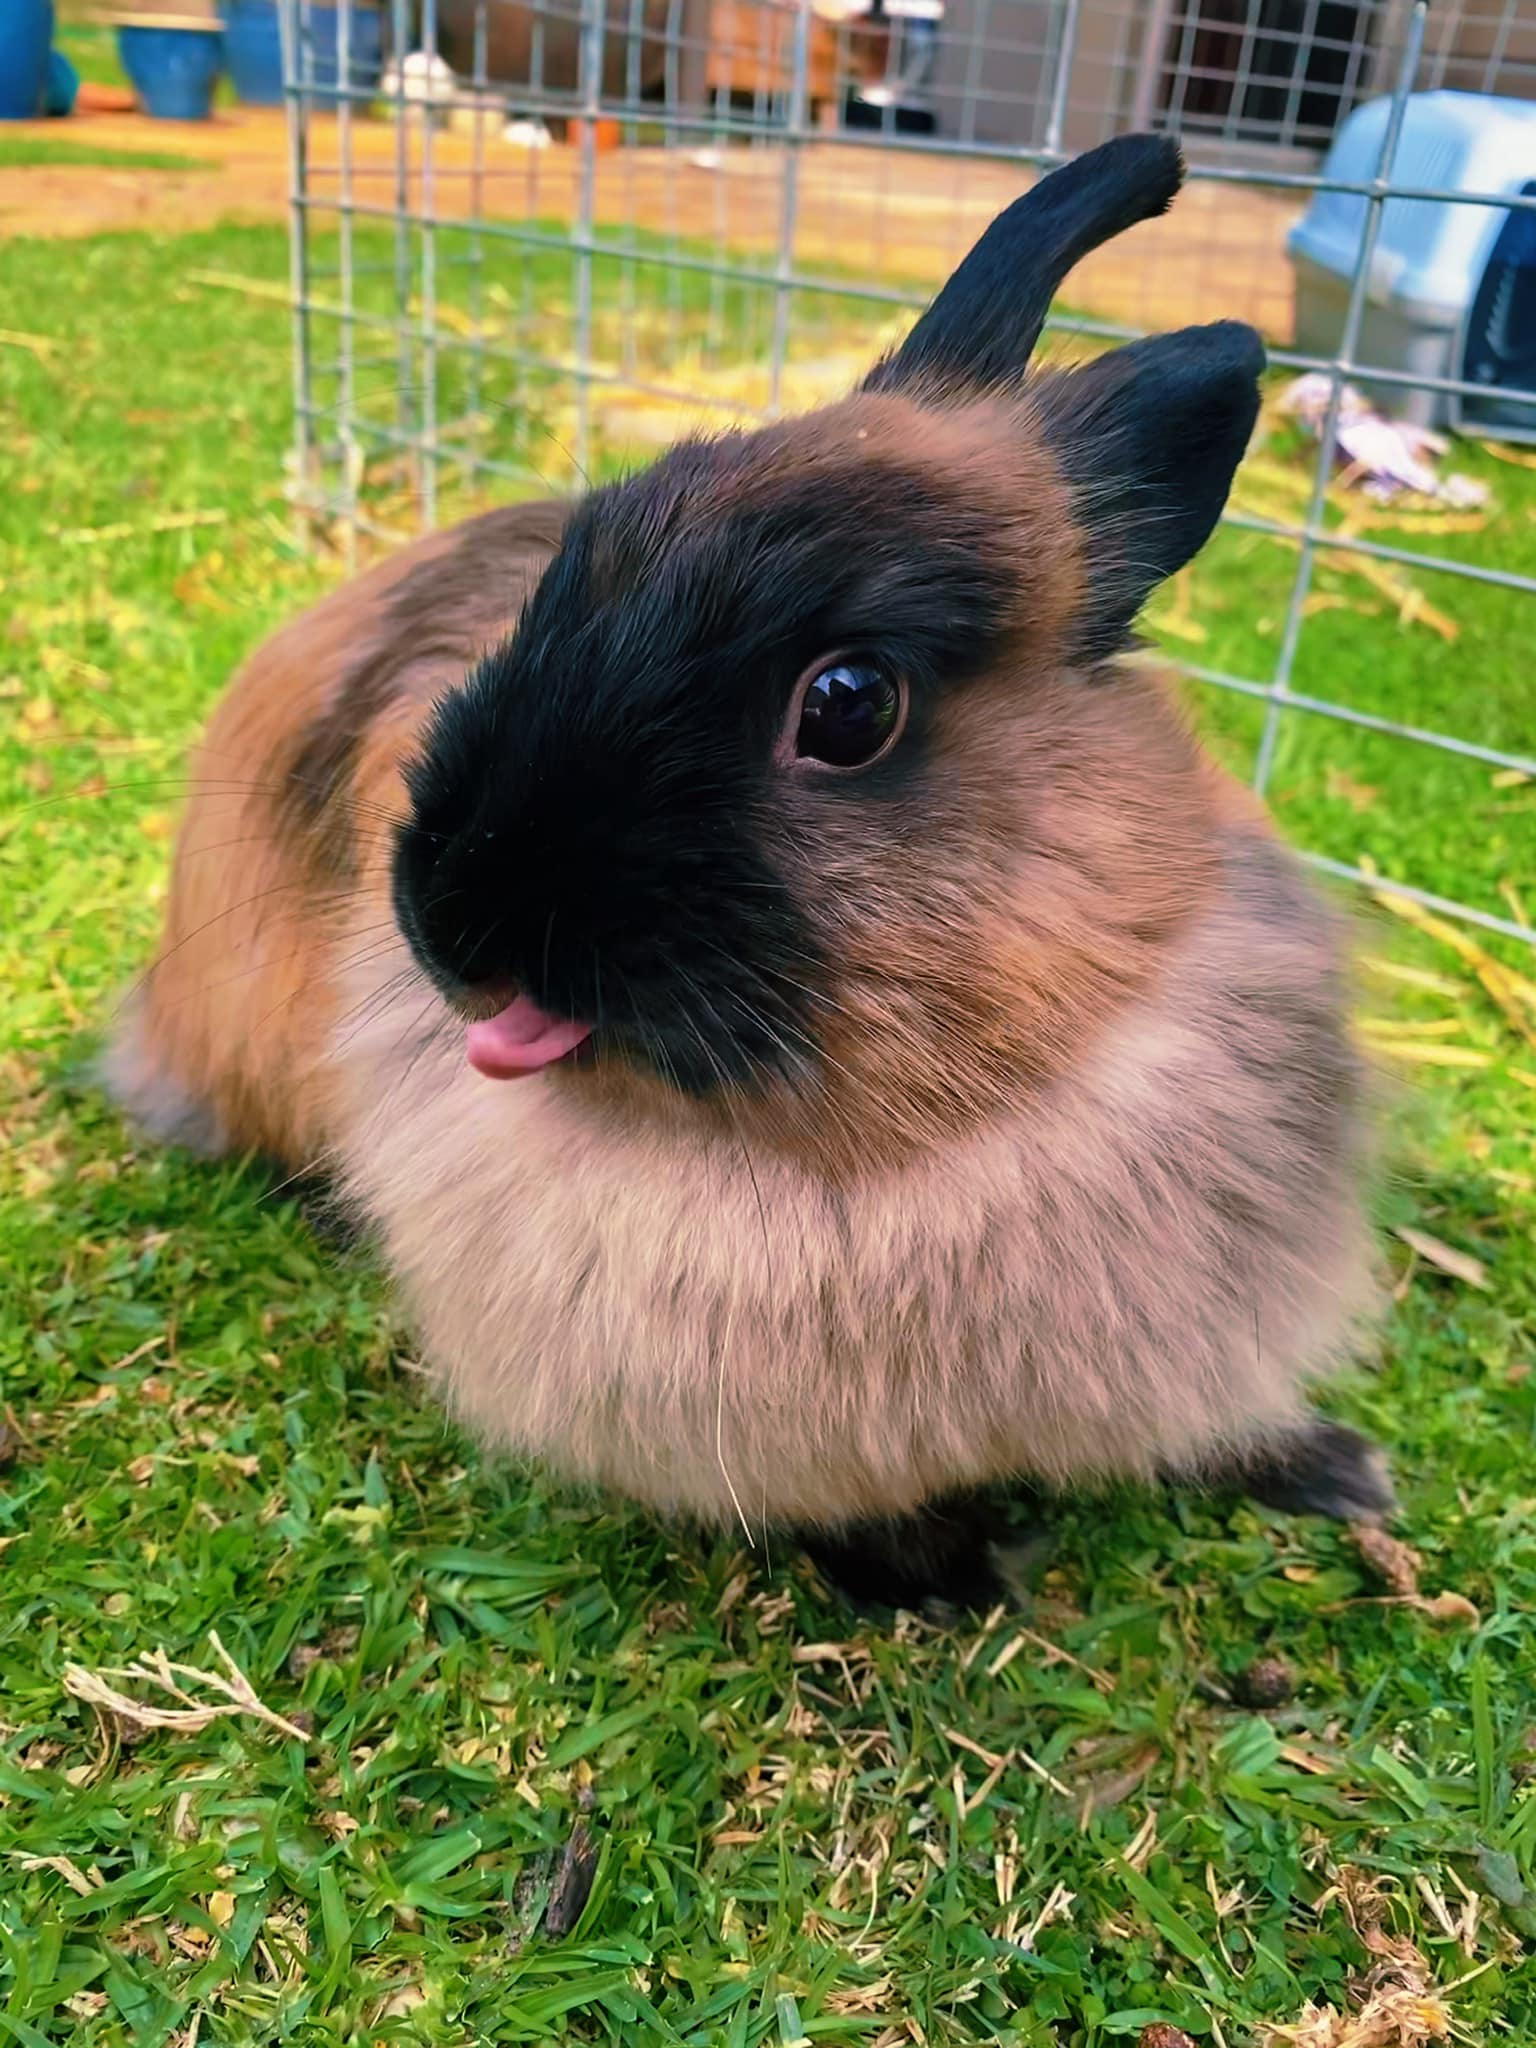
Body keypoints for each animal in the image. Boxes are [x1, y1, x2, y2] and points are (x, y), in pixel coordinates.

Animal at [105, 133, 1393, 1613]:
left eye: (848, 704)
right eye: (564, 582)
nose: (442, 921)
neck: (913, 1144)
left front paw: (1332, 1467)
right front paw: (957, 1569)